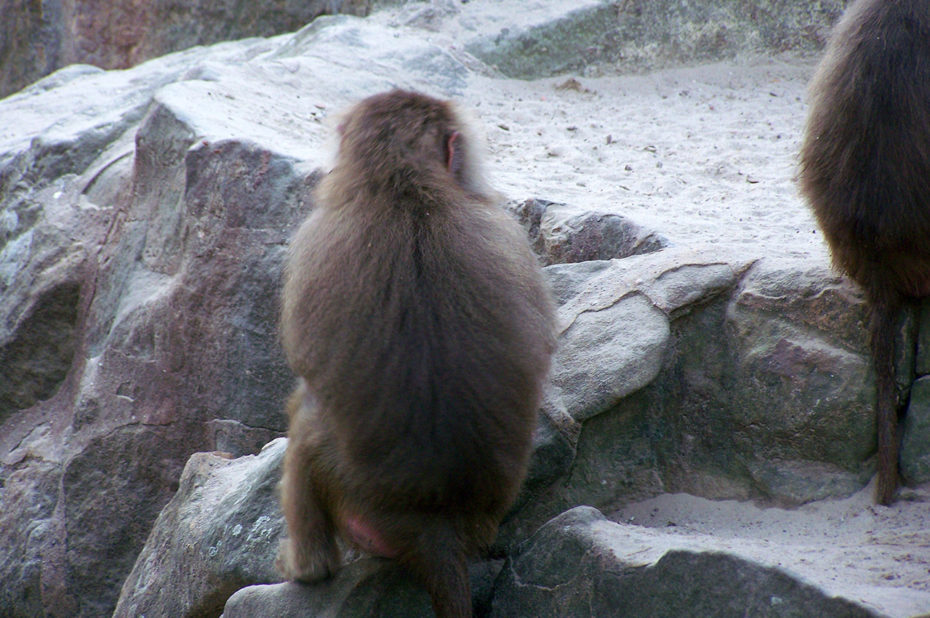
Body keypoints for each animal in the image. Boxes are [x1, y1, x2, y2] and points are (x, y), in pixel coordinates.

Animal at [272, 88, 556, 616]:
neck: (405, 184)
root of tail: (435, 522)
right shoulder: (511, 234)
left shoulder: (310, 239)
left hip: (349, 492)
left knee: (305, 425)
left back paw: (307, 568)